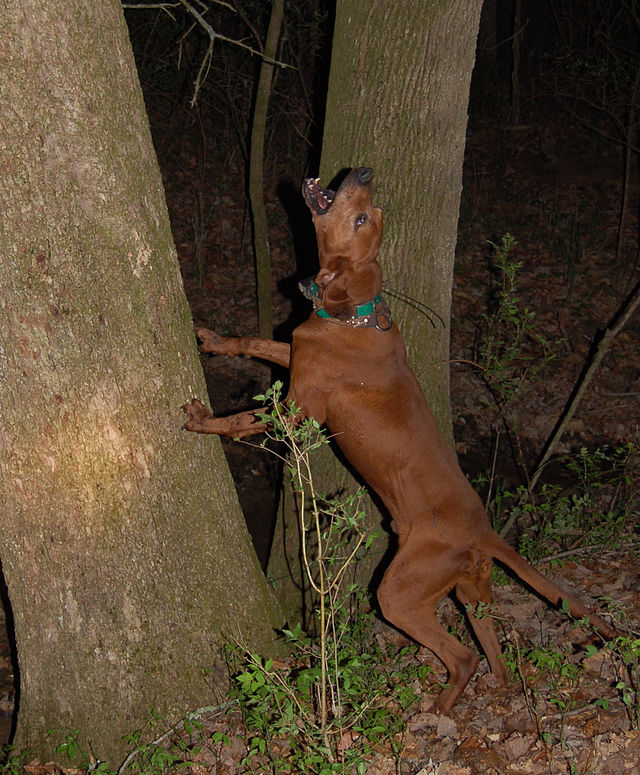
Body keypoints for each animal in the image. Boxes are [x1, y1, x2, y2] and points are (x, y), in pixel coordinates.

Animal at [182, 167, 612, 712]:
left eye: (362, 218)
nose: (364, 172)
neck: (354, 314)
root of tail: (483, 531)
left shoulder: (295, 410)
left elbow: (239, 418)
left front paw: (202, 421)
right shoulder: (293, 353)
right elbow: (255, 341)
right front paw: (215, 340)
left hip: (399, 593)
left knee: (462, 657)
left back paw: (433, 713)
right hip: (471, 593)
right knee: (492, 656)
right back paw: (489, 693)